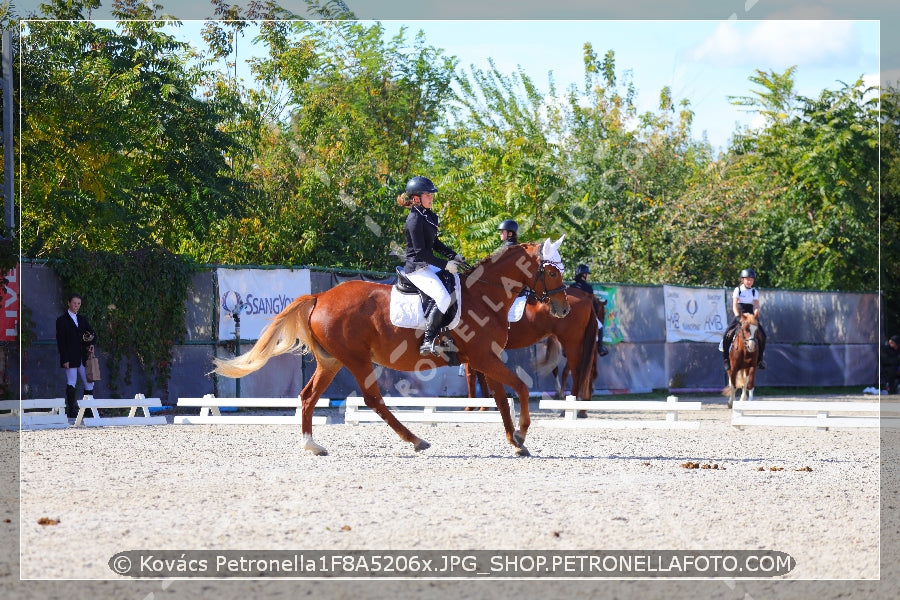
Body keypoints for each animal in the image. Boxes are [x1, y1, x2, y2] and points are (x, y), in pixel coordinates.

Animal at [213, 239, 568, 454]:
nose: (563, 309)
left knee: (308, 396)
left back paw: (312, 445)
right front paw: (522, 433)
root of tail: (320, 296)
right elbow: (521, 388)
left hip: (331, 361)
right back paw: (416, 440)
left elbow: (503, 400)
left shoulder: (486, 358)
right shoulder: (484, 357)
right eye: (551, 271)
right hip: (356, 359)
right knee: (373, 400)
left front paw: (515, 441)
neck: (484, 294)